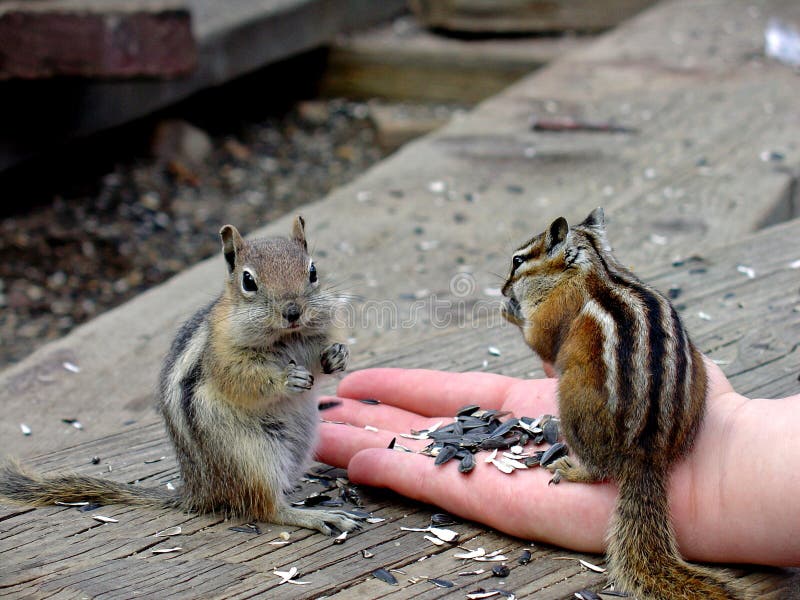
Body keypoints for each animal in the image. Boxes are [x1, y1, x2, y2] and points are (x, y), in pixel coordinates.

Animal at [2, 218, 360, 536]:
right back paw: (316, 516)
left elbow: (322, 357)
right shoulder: (224, 356)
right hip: (251, 458)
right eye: (248, 281)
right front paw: (288, 379)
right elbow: (242, 380)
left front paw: (336, 356)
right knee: (264, 508)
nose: (292, 311)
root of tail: (199, 491)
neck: (288, 336)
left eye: (312, 271)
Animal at [504, 207, 740, 600]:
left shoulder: (556, 310)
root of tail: (647, 452)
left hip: (573, 403)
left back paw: (571, 469)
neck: (596, 266)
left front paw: (509, 311)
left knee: (598, 470)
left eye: (518, 261)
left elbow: (539, 339)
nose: (503, 289)